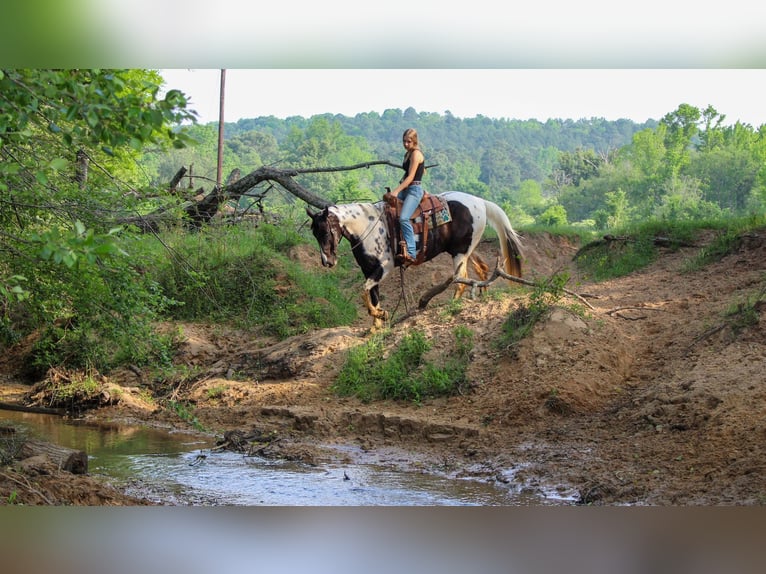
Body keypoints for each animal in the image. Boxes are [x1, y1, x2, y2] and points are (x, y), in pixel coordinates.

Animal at [306, 191, 520, 330]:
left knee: (460, 281)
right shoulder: (368, 270)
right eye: (314, 233)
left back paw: (452, 305)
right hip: (465, 250)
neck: (367, 227)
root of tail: (479, 201)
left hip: (460, 252)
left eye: (325, 231)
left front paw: (381, 315)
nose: (327, 261)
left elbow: (363, 291)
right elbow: (372, 296)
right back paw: (481, 294)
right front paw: (376, 327)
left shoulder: (384, 267)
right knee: (480, 269)